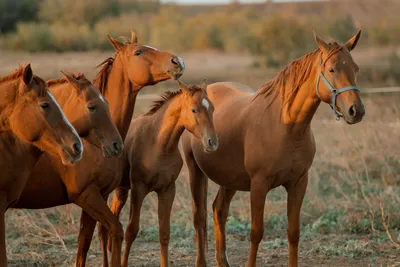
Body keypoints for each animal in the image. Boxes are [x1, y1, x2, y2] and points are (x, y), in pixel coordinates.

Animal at [11, 29, 185, 267]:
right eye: (138, 52)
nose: (178, 62)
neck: (93, 142)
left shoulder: (99, 194)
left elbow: (88, 240)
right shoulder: (86, 194)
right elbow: (104, 234)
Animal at [109, 80, 219, 267]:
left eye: (212, 108)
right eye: (194, 110)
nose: (212, 142)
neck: (158, 144)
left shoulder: (167, 190)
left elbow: (164, 233)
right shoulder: (138, 188)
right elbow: (132, 230)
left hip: (121, 190)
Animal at [181, 30, 366, 266]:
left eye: (356, 68)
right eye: (332, 69)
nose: (356, 111)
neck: (286, 126)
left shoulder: (298, 184)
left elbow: (293, 233)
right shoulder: (259, 185)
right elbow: (256, 233)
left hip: (229, 179)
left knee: (219, 210)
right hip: (195, 170)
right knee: (199, 217)